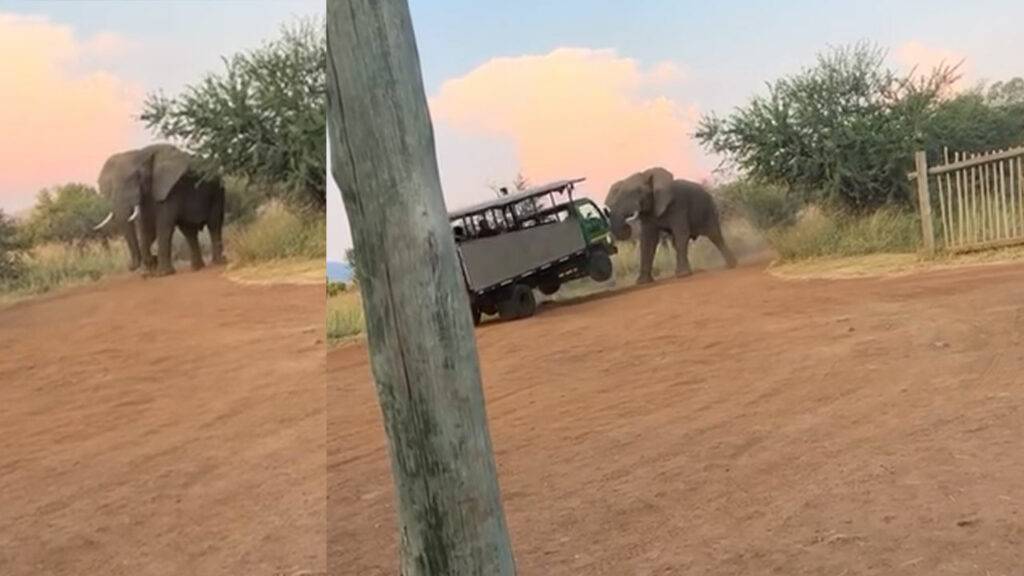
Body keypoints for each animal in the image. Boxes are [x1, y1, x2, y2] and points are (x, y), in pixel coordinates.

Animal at [93, 144, 226, 276]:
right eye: (110, 188)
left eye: (137, 178)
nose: (129, 266)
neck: (139, 154)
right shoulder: (148, 194)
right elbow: (147, 229)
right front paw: (149, 272)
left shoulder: (169, 190)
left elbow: (163, 225)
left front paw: (162, 273)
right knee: (188, 231)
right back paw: (196, 268)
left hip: (217, 191)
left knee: (214, 224)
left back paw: (218, 262)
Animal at [598, 165, 737, 282]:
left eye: (638, 191)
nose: (627, 224)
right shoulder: (648, 214)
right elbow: (648, 241)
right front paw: (642, 282)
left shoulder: (678, 205)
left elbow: (681, 234)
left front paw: (683, 275)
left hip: (709, 209)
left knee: (715, 236)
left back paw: (731, 265)